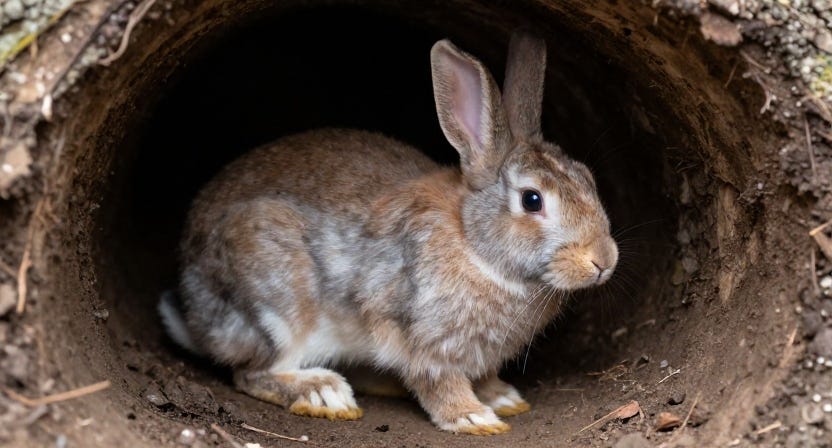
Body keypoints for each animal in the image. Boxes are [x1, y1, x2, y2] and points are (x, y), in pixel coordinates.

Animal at [158, 30, 618, 435]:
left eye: (588, 178)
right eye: (532, 200)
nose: (603, 261)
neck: (474, 245)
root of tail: (197, 321)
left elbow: (484, 376)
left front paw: (503, 398)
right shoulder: (424, 340)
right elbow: (438, 382)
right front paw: (474, 418)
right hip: (277, 301)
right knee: (252, 372)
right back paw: (323, 392)